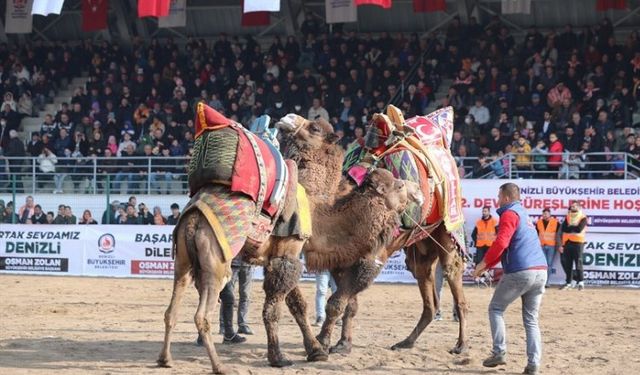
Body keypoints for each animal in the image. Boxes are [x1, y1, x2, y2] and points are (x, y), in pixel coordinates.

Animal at [154, 105, 416, 374]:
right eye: (398, 186)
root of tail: (193, 220)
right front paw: (278, 357)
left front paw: (316, 350)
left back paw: (165, 359)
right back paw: (219, 366)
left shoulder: (280, 255)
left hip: (183, 262)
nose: (414, 191)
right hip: (216, 262)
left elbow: (297, 304)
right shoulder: (289, 250)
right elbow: (273, 310)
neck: (315, 207)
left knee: (171, 310)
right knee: (201, 314)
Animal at [276, 111, 470, 358]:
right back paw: (405, 342)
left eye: (315, 129)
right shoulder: (341, 258)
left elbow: (336, 304)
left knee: (454, 279)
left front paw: (324, 341)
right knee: (427, 293)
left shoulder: (370, 259)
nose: (287, 118)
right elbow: (349, 304)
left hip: (448, 232)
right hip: (420, 248)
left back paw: (461, 345)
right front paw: (343, 343)